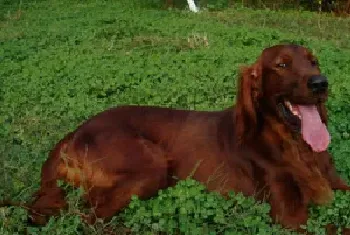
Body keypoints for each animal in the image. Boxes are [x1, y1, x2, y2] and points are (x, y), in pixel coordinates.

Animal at [2, 44, 350, 233]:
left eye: (314, 60)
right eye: (282, 64)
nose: (321, 83)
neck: (296, 146)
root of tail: (73, 133)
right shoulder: (291, 217)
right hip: (151, 164)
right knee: (88, 217)